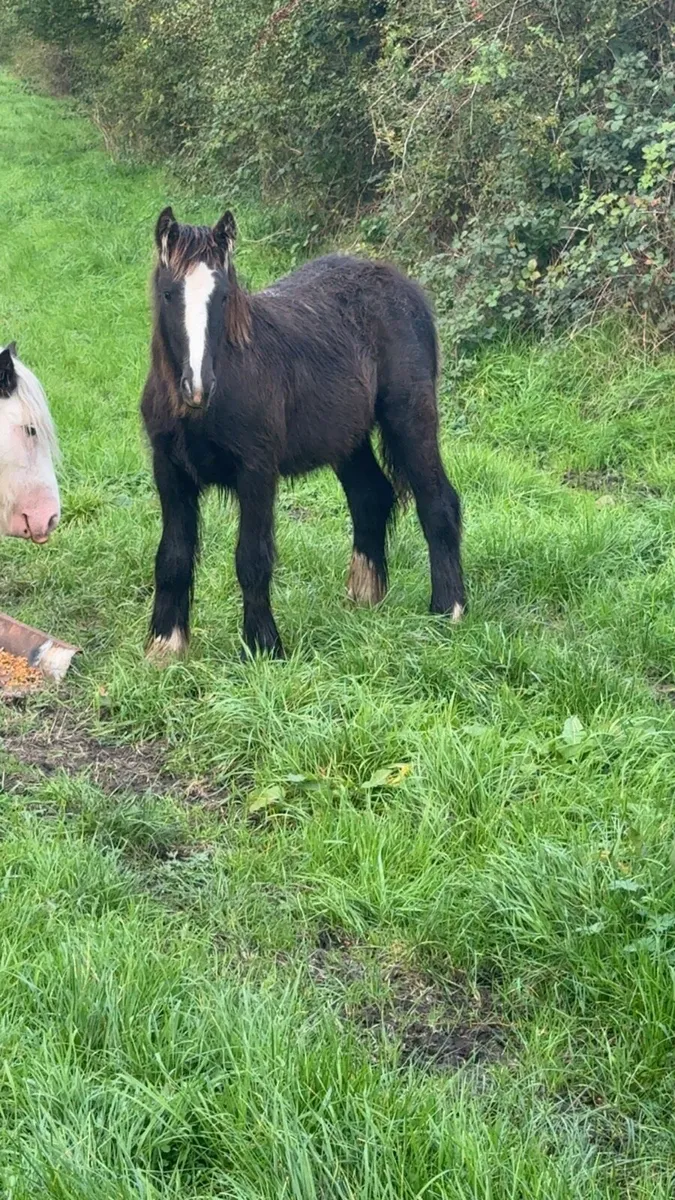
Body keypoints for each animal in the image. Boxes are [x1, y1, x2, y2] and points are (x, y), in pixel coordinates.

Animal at [141, 207, 465, 661]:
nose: (197, 387)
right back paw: (365, 596)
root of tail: (405, 287)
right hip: (348, 438)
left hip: (410, 419)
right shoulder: (170, 472)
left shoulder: (257, 471)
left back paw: (448, 608)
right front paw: (165, 646)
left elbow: (252, 558)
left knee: (438, 503)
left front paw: (263, 647)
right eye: (170, 293)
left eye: (222, 296)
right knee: (371, 496)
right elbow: (172, 557)